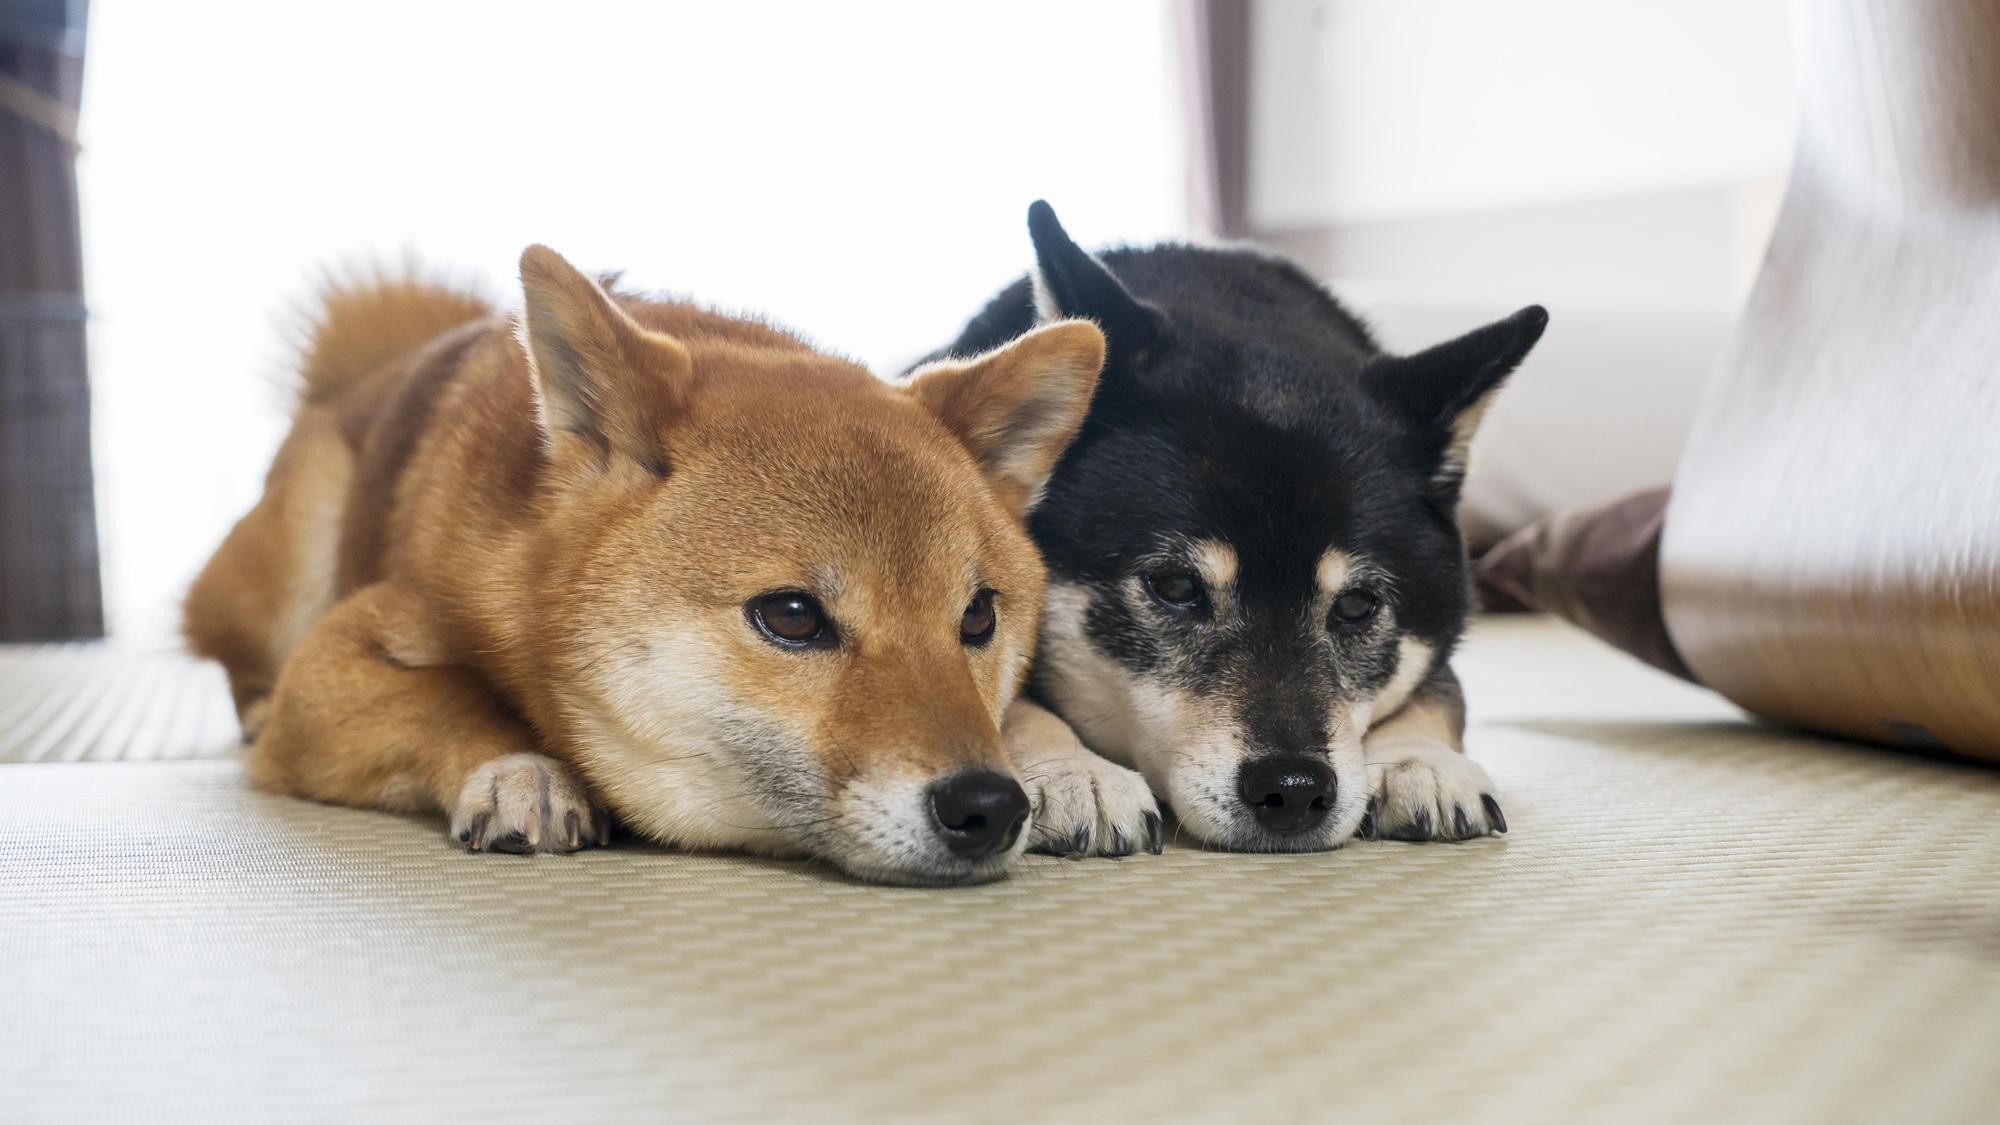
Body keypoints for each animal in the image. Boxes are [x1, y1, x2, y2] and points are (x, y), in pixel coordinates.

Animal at [188, 247, 1120, 884]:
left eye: (978, 616)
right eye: (792, 615)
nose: (989, 804)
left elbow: (1024, 708)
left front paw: (1079, 768)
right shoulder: (333, 661)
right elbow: (447, 692)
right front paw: (523, 764)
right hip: (300, 546)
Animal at [920, 203, 1544, 848]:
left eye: (1356, 606)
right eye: (1175, 587)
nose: (1294, 789)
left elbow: (1441, 693)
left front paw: (1420, 761)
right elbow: (1003, 699)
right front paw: (1074, 769)